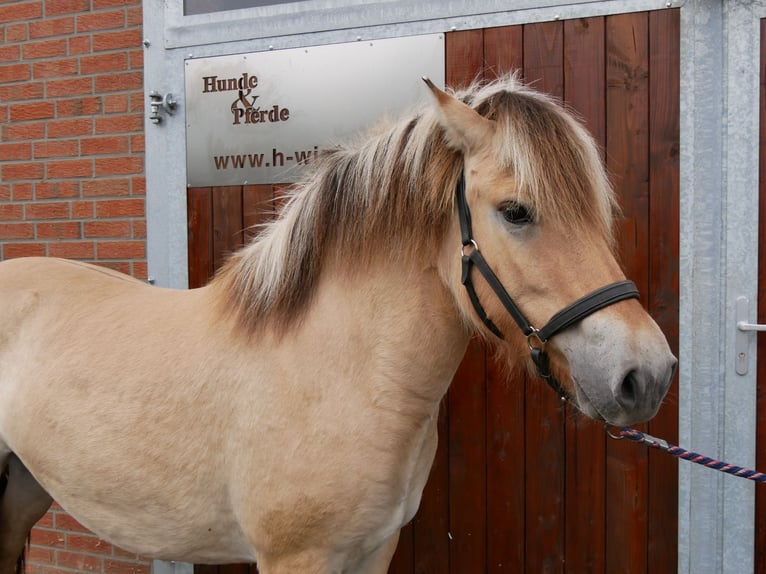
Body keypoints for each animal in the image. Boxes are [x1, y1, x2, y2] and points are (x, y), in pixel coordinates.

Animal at [0, 75, 676, 574]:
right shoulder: (295, 559)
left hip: (24, 490)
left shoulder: (374, 549)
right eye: (516, 212)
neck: (341, 373)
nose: (646, 374)